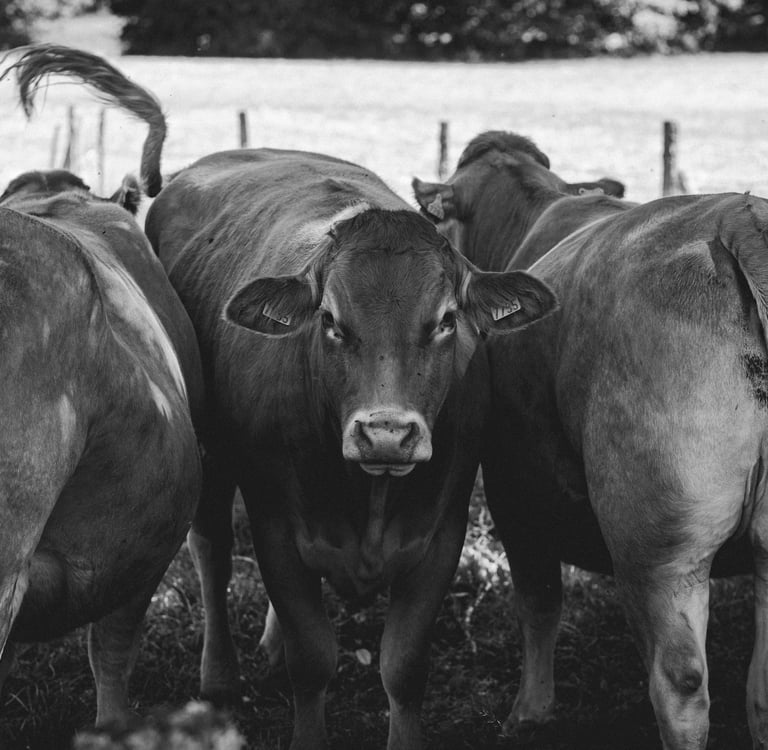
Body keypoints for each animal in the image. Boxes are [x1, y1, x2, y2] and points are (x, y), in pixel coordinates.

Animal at [417, 131, 768, 749]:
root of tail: (737, 219)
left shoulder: (512, 490)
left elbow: (538, 601)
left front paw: (529, 714)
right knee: (761, 690)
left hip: (657, 548)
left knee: (680, 685)